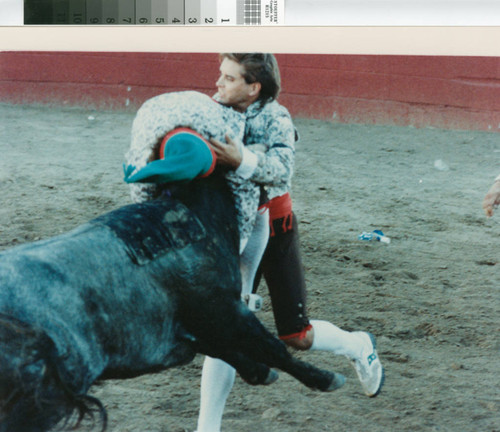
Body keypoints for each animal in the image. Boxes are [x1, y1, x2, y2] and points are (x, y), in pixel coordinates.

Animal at [0, 173, 342, 432]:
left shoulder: (189, 328)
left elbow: (223, 348)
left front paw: (260, 372)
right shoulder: (226, 310)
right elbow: (272, 347)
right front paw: (326, 378)